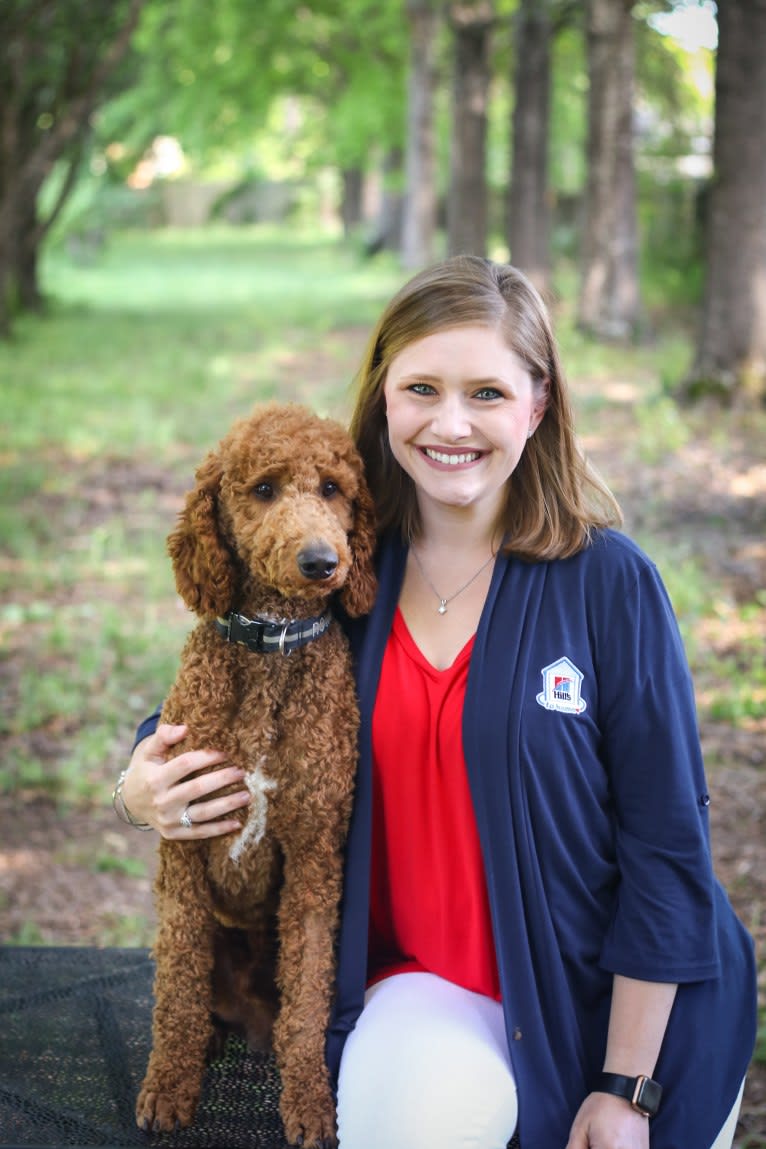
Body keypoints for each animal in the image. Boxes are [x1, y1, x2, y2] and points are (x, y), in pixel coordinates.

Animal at [139, 404, 378, 1149]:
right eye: (265, 489)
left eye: (332, 489)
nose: (322, 562)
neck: (271, 648)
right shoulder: (183, 846)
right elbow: (178, 992)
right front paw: (169, 1086)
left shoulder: (314, 853)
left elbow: (307, 1002)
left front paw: (308, 1103)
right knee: (194, 992)